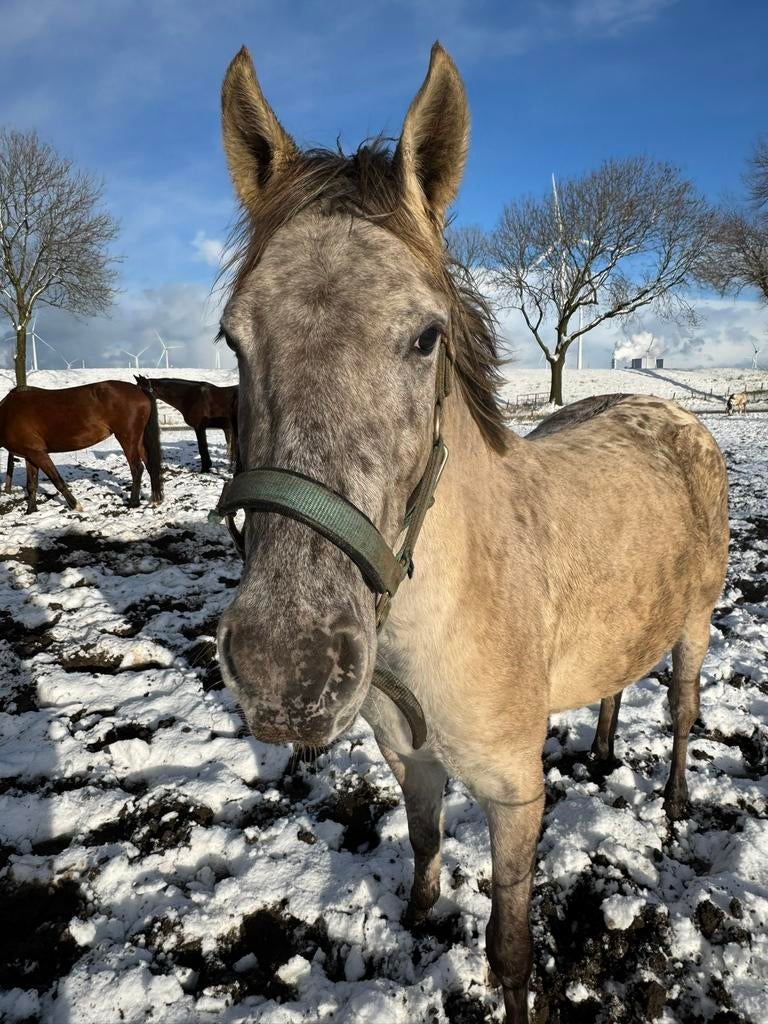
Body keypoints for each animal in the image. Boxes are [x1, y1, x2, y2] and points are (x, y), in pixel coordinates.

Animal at [1, 380, 163, 513]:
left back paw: (133, 503)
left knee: (137, 468)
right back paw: (156, 499)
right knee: (150, 465)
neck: (8, 413)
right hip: (138, 440)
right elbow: (31, 485)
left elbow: (57, 480)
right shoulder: (30, 456)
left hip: (127, 438)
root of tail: (139, 390)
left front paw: (75, 506)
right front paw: (31, 511)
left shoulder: (38, 453)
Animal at [211, 45, 729, 1022]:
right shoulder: (409, 758)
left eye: (426, 338)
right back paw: (602, 752)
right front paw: (419, 920)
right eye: (232, 340)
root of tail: (672, 414)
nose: (288, 671)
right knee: (614, 686)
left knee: (682, 710)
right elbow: (421, 847)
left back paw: (677, 801)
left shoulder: (513, 795)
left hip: (695, 623)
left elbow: (511, 947)